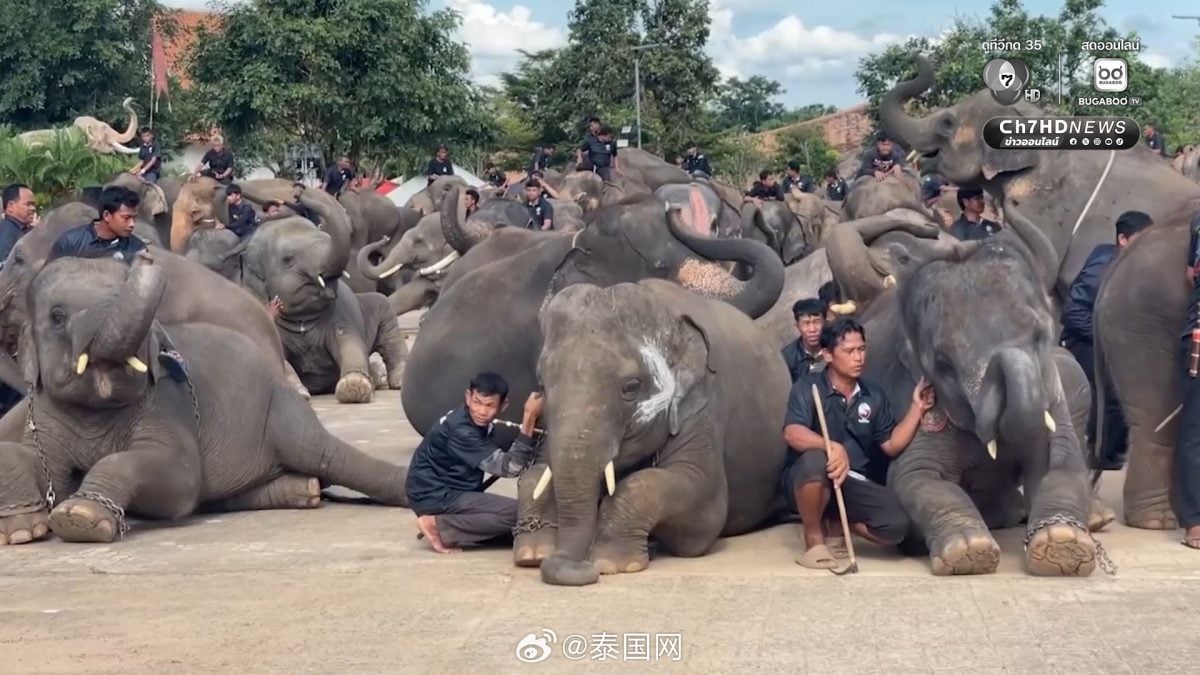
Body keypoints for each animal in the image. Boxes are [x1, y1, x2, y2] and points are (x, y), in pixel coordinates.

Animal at [0, 253, 408, 546]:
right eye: (57, 316)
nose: (145, 255)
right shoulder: (46, 412)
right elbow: (27, 459)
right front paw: (22, 529)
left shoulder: (166, 401)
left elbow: (180, 477)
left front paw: (78, 517)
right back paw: (302, 490)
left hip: (280, 408)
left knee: (323, 454)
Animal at [240, 217, 409, 403]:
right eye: (287, 259)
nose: (385, 238)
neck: (302, 319)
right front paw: (299, 392)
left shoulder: (341, 315)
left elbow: (349, 342)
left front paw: (354, 386)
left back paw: (394, 380)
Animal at [522, 278, 790, 585]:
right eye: (542, 383)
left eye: (631, 387)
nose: (574, 568)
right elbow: (535, 474)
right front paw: (533, 553)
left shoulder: (702, 404)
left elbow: (704, 502)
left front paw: (613, 564)